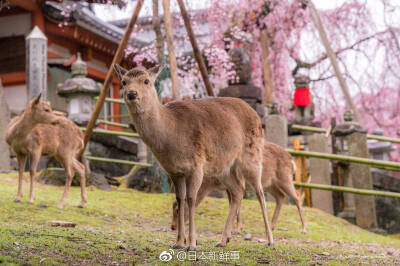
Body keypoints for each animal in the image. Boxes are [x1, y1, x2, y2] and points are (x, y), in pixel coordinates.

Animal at [114, 63, 274, 250]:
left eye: (146, 81)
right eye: (124, 82)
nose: (132, 93)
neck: (171, 137)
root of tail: (256, 115)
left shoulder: (196, 165)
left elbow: (191, 199)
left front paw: (191, 244)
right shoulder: (174, 171)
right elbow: (180, 199)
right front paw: (178, 242)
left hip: (252, 155)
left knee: (260, 192)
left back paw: (270, 239)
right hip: (224, 167)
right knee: (238, 191)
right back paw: (223, 240)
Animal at [171, 141, 306, 233]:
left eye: (177, 209)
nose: (173, 227)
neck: (211, 182)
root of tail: (292, 160)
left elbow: (235, 204)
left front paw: (237, 229)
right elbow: (233, 204)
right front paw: (236, 228)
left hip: (285, 178)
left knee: (297, 197)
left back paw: (304, 229)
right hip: (270, 183)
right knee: (280, 196)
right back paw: (272, 226)